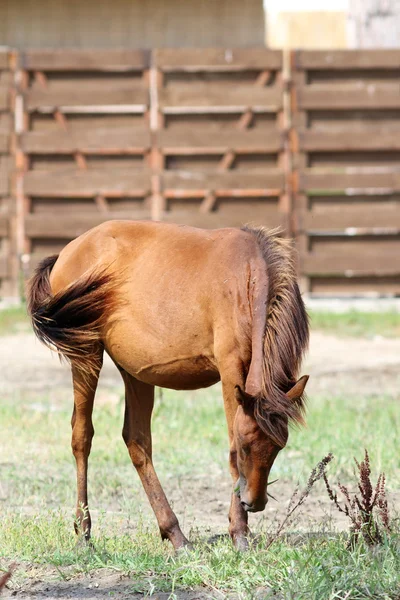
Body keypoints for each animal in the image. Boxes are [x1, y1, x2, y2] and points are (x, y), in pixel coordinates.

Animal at [28, 219, 310, 548]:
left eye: (279, 446)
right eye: (245, 447)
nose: (254, 502)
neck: (247, 277)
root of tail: (67, 251)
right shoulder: (230, 369)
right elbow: (228, 449)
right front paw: (239, 532)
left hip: (134, 372)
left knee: (137, 441)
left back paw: (174, 534)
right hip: (87, 355)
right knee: (82, 436)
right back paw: (84, 532)